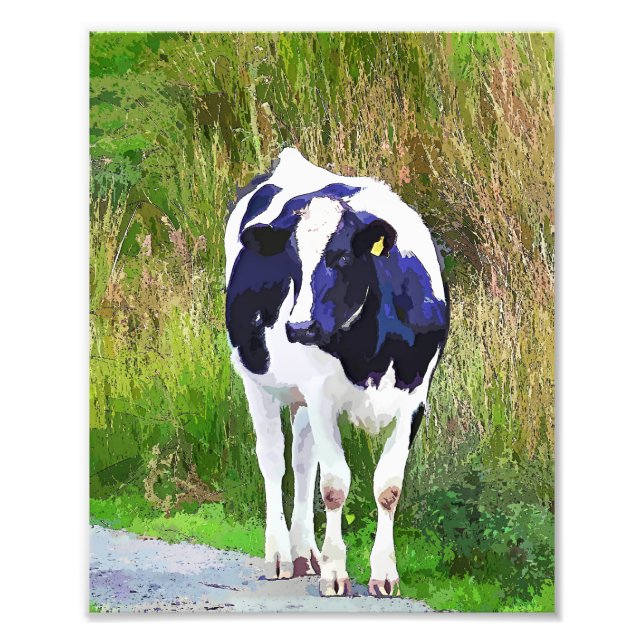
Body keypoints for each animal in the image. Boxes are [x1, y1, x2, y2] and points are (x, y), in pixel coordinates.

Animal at [224, 148, 449, 597]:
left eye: (342, 257)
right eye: (292, 260)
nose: (298, 327)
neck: (372, 349)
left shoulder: (415, 399)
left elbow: (388, 487)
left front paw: (384, 574)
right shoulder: (322, 395)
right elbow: (334, 486)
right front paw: (335, 573)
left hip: (302, 398)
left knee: (301, 461)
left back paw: (305, 553)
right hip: (255, 379)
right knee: (273, 459)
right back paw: (280, 555)